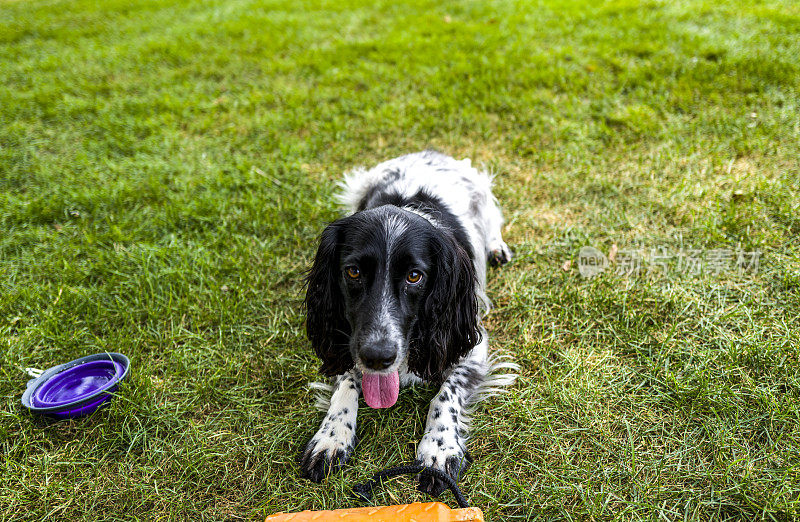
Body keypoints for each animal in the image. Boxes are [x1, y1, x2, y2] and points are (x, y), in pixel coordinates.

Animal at [296, 148, 516, 494]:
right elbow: (346, 381)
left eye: (415, 276)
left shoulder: (470, 341)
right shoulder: (345, 340)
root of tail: (428, 151)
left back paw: (496, 246)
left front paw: (439, 448)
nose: (378, 357)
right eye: (353, 271)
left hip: (483, 196)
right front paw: (332, 436)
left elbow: (446, 394)